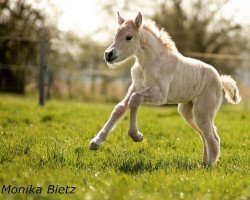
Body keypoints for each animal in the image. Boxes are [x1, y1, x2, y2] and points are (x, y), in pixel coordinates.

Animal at [89, 11, 241, 166]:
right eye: (115, 35)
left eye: (129, 37)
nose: (109, 54)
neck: (148, 63)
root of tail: (220, 80)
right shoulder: (135, 86)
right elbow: (120, 108)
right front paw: (96, 142)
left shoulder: (159, 95)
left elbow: (135, 99)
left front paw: (136, 136)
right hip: (187, 112)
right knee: (204, 135)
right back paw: (203, 163)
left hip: (202, 112)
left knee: (213, 138)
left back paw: (210, 165)